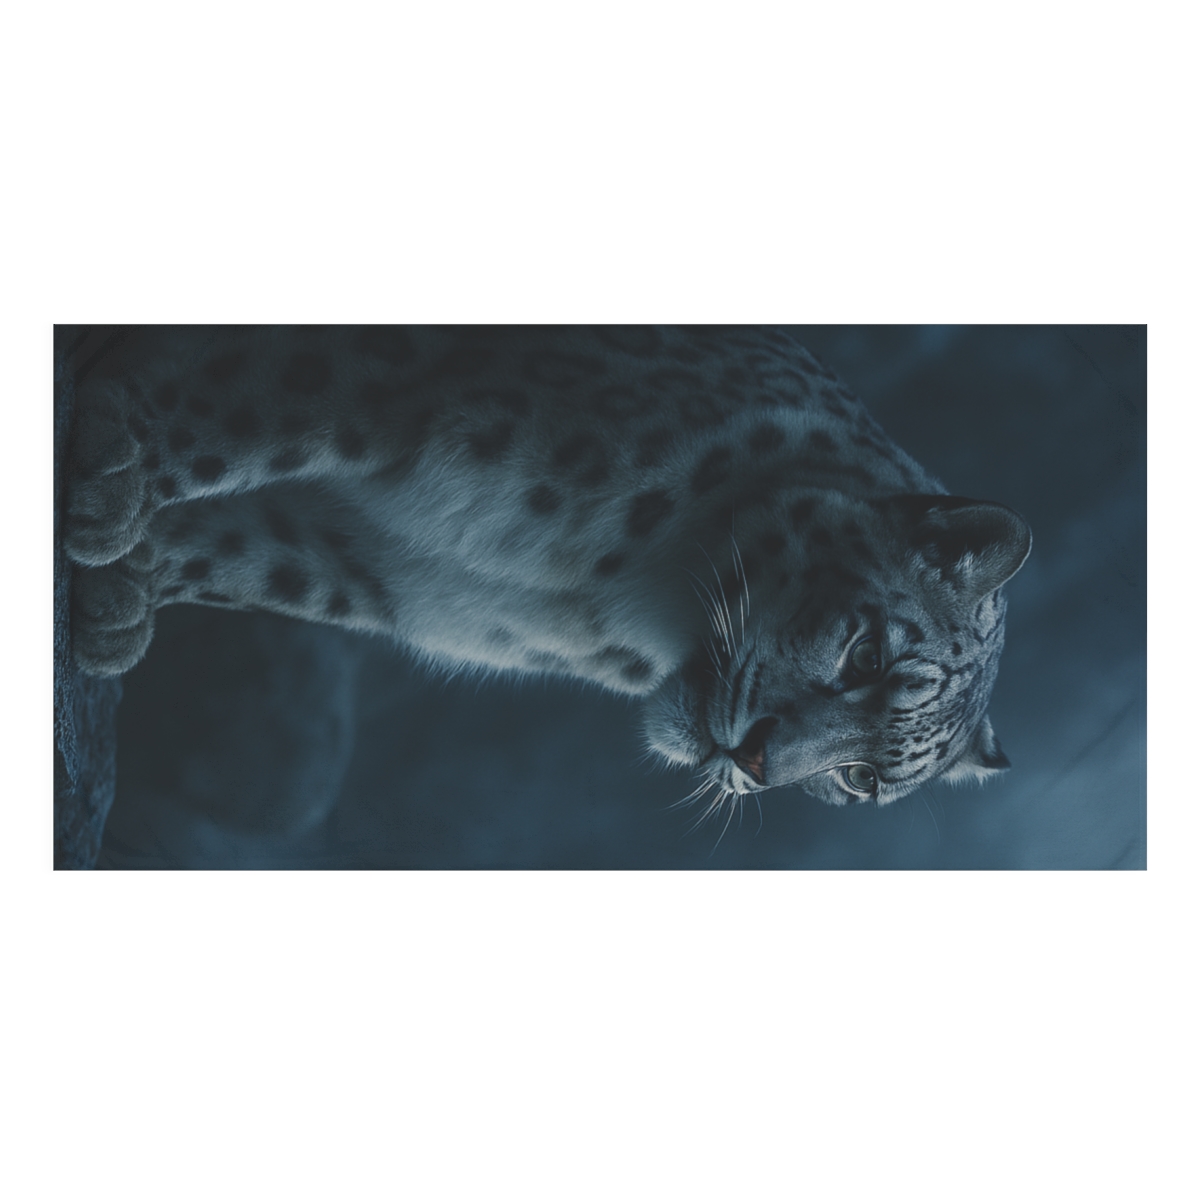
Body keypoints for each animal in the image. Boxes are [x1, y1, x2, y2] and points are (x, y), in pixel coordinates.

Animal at [62, 325, 1031, 817]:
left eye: (864, 782)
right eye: (867, 655)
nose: (753, 761)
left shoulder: (373, 566)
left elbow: (248, 556)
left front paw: (118, 596)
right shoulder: (403, 378)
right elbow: (250, 403)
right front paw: (106, 471)